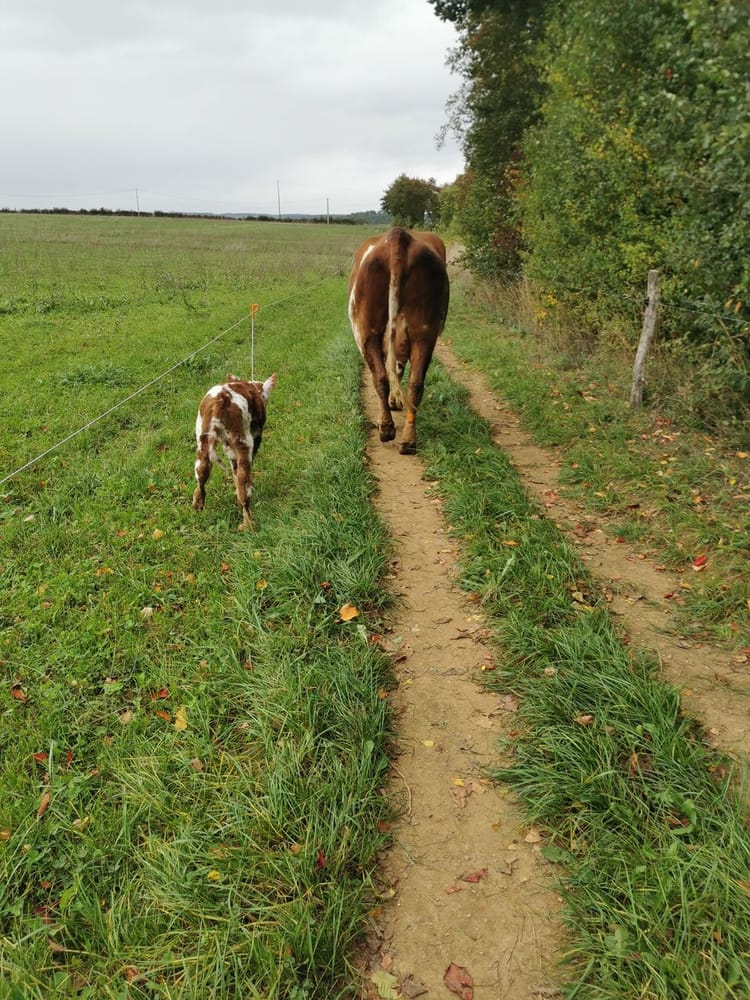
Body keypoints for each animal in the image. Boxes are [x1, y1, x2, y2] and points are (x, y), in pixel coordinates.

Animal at [192, 372, 278, 532]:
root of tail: (221, 398)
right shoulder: (257, 435)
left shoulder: (228, 446)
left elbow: (233, 470)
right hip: (244, 440)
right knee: (243, 478)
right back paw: (248, 523)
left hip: (202, 438)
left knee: (201, 472)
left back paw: (198, 503)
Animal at [350, 226, 450, 454]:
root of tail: (398, 236)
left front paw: (393, 402)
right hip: (424, 332)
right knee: (415, 383)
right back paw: (409, 440)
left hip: (366, 331)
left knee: (380, 377)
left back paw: (386, 429)